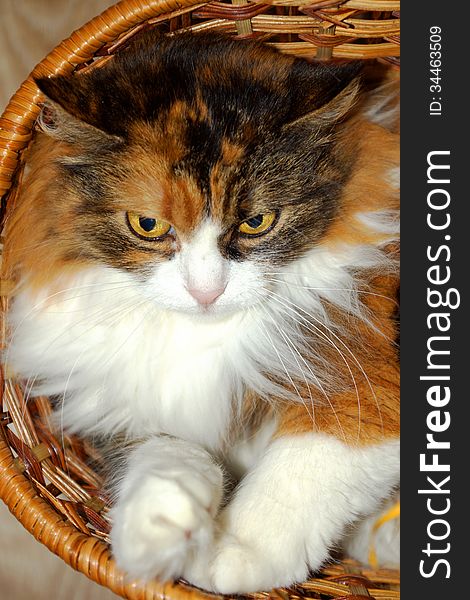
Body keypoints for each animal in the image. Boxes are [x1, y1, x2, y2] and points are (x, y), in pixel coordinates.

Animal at [3, 31, 400, 592]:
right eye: (147, 225)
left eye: (257, 221)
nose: (206, 291)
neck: (205, 336)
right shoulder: (120, 408)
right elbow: (166, 452)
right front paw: (161, 527)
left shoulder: (367, 380)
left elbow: (305, 466)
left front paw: (231, 554)